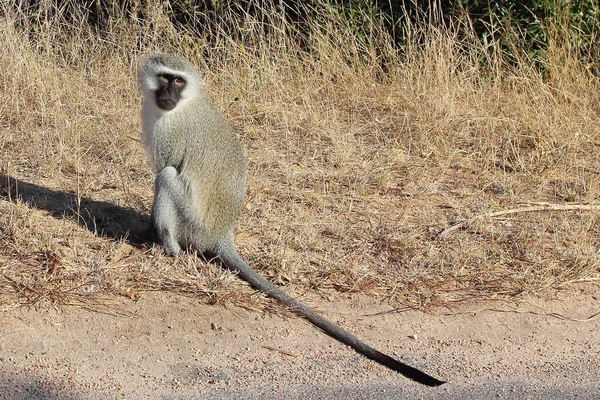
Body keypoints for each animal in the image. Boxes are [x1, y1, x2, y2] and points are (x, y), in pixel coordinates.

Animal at [138, 54, 442, 386]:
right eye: (165, 77)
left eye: (179, 80)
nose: (168, 93)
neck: (184, 104)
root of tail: (222, 234)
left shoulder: (169, 133)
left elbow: (164, 168)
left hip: (194, 225)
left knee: (167, 177)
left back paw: (170, 249)